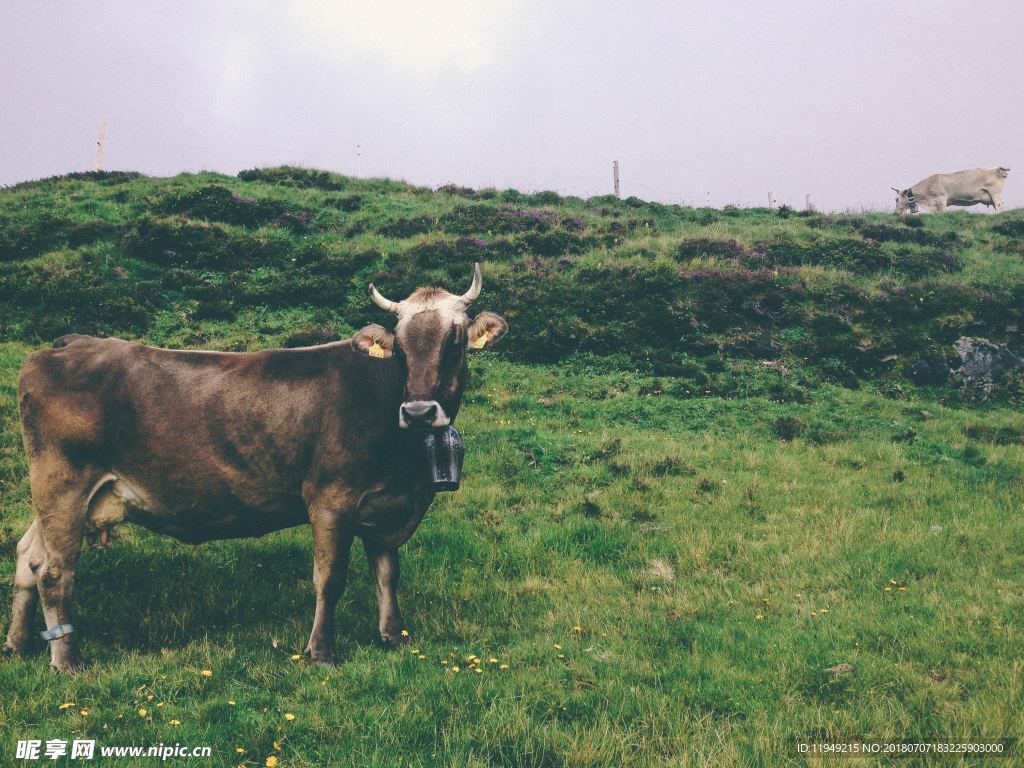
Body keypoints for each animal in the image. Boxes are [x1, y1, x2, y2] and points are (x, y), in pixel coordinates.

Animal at [2, 266, 505, 671]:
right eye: (399, 349)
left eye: (455, 343)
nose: (418, 411)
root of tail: (68, 342)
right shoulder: (330, 500)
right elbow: (330, 579)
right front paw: (322, 652)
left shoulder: (385, 504)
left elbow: (386, 572)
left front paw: (393, 636)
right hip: (64, 485)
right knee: (54, 571)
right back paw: (67, 660)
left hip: (62, 496)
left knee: (28, 556)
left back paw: (18, 645)